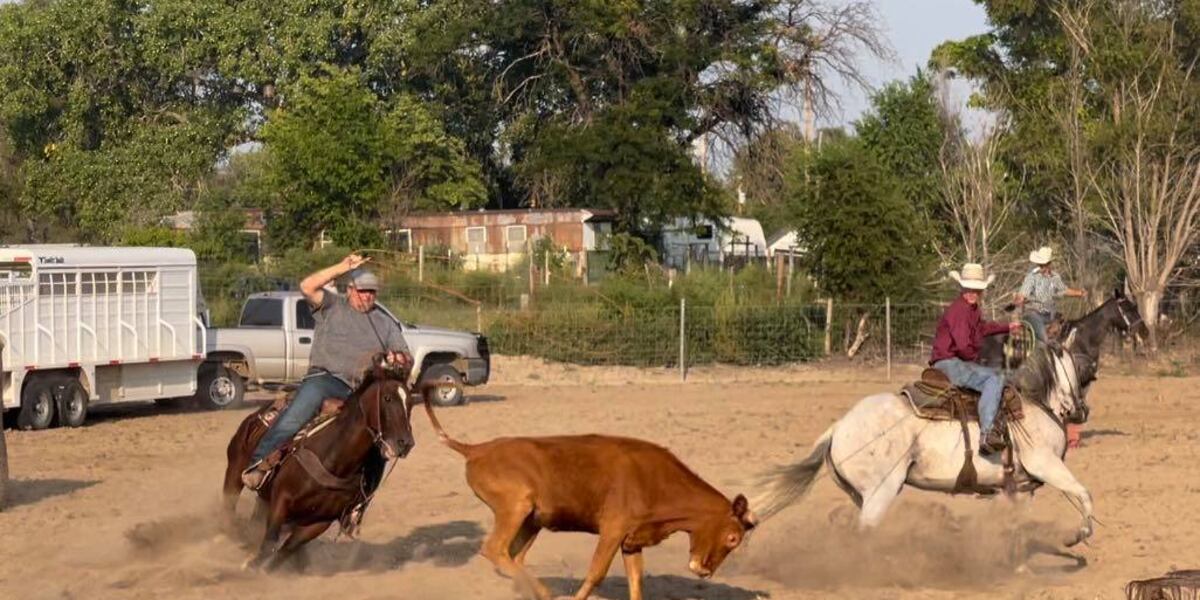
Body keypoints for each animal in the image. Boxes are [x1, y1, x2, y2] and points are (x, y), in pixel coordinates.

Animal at [221, 354, 416, 572]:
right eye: (387, 398)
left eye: (410, 403)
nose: (405, 443)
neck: (335, 461)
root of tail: (257, 415)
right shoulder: (282, 500)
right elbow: (269, 542)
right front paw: (251, 566)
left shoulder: (319, 522)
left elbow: (284, 551)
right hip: (234, 470)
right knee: (229, 507)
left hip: (265, 498)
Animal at [753, 344, 1096, 548]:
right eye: (1075, 371)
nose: (1081, 411)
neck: (1034, 404)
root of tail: (839, 427)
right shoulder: (1046, 464)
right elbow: (1083, 493)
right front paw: (1079, 535)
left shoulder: (1021, 488)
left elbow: (1016, 526)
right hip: (881, 492)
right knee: (863, 533)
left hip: (861, 495)